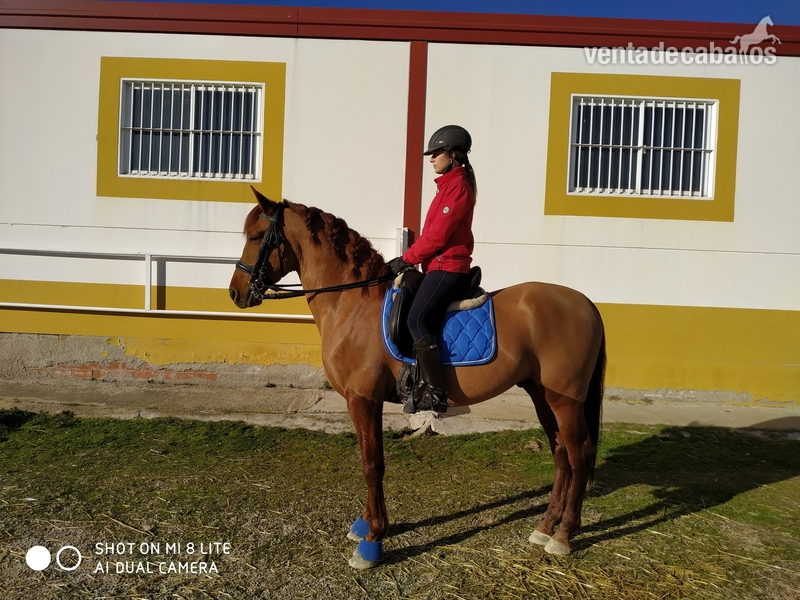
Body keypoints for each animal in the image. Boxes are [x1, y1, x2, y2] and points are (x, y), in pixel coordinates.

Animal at [228, 187, 606, 568]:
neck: (352, 303)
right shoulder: (361, 401)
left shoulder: (363, 399)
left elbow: (372, 464)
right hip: (542, 394)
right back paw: (545, 527)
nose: (236, 292)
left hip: (564, 399)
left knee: (580, 455)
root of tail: (586, 303)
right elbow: (368, 459)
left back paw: (562, 536)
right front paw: (367, 524)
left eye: (256, 236)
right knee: (561, 454)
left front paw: (373, 540)